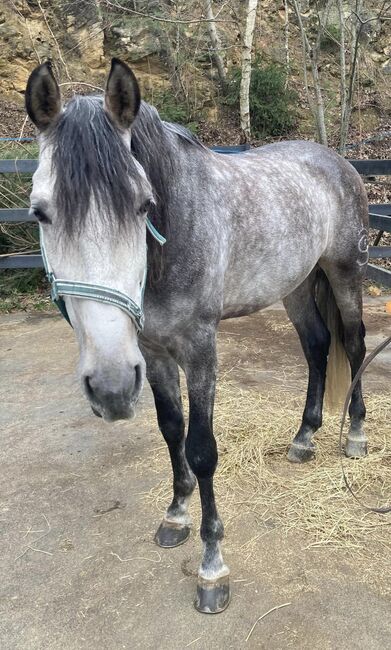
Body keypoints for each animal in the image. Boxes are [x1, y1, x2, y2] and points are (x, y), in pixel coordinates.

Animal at [26, 58, 370, 612]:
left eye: (145, 205)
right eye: (40, 212)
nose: (110, 389)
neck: (173, 237)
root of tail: (338, 162)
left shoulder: (199, 349)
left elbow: (202, 448)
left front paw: (213, 567)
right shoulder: (150, 353)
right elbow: (172, 431)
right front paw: (176, 515)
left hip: (344, 273)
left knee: (355, 346)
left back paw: (356, 435)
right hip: (296, 285)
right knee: (317, 347)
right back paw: (304, 438)